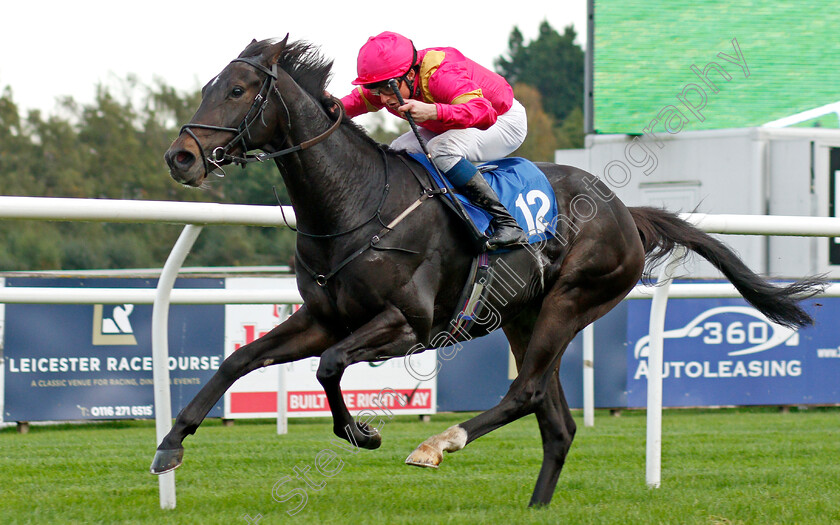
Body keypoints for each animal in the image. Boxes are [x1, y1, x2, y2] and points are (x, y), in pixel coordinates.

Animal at [154, 35, 824, 504]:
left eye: (239, 91)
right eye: (210, 86)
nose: (180, 156)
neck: (356, 203)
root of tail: (624, 211)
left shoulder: (406, 323)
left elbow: (330, 365)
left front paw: (364, 434)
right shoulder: (322, 316)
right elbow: (240, 360)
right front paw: (169, 446)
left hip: (573, 300)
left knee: (525, 391)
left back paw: (437, 444)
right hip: (524, 316)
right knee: (555, 420)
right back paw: (533, 505)